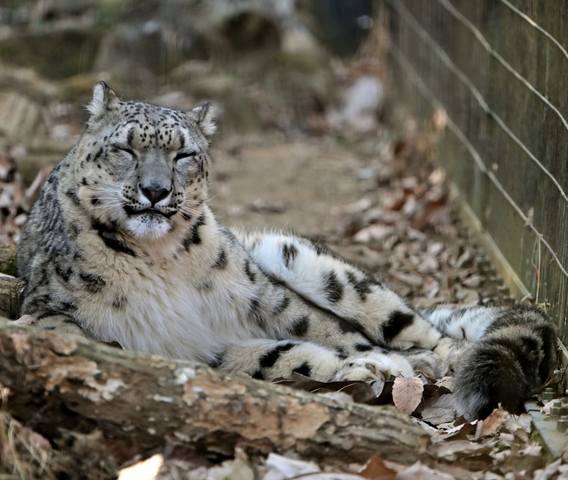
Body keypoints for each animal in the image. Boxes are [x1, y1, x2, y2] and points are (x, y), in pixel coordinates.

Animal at [16, 82, 558, 420]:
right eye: (125, 149)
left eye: (184, 154)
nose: (154, 191)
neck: (161, 258)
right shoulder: (186, 346)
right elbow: (283, 356)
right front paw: (365, 370)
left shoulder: (260, 297)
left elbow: (322, 329)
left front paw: (385, 363)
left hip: (312, 265)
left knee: (417, 327)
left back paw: (444, 357)